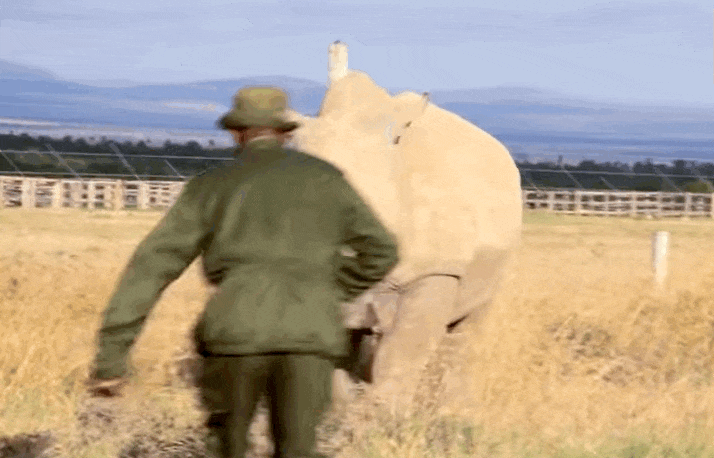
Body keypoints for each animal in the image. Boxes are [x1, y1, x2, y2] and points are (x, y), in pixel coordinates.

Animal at [282, 42, 523, 412]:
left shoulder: (437, 268)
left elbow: (403, 351)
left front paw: (387, 414)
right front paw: (340, 412)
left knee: (469, 324)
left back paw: (454, 410)